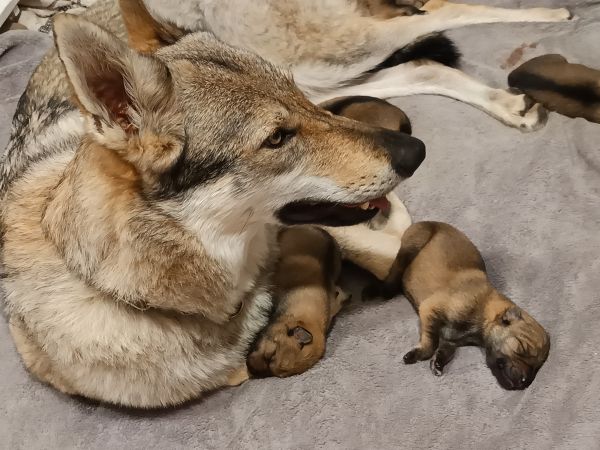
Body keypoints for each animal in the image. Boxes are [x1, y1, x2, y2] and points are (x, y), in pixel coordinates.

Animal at [364, 221, 552, 390]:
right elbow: (431, 341)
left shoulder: (450, 340)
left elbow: (445, 350)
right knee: (393, 274)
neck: (483, 313)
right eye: (521, 348)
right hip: (411, 245)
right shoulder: (430, 308)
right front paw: (419, 354)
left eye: (536, 366)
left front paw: (438, 363)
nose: (524, 382)